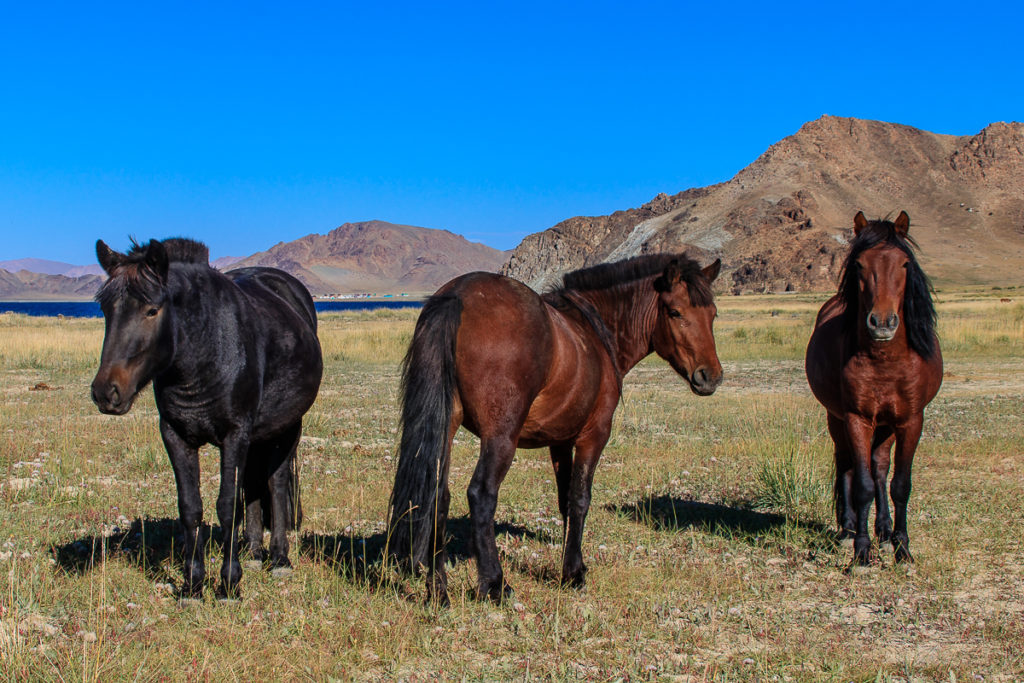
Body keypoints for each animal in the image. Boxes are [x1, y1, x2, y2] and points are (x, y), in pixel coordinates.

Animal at [93, 239, 323, 598]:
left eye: (152, 310)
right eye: (106, 309)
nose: (106, 392)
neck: (204, 351)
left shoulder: (234, 434)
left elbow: (227, 505)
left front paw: (228, 584)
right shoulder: (175, 435)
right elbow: (191, 506)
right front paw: (192, 583)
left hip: (287, 428)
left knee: (276, 482)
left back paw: (279, 558)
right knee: (253, 484)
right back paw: (254, 552)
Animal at [387, 252, 724, 602]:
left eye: (712, 314)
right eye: (675, 312)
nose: (710, 376)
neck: (596, 332)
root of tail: (458, 295)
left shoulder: (560, 441)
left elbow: (564, 501)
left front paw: (569, 564)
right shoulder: (593, 436)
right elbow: (580, 499)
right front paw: (574, 573)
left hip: (446, 430)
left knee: (438, 497)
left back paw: (438, 591)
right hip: (501, 438)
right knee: (480, 495)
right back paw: (495, 584)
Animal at [806, 211, 942, 565]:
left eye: (905, 264)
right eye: (859, 265)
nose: (881, 323)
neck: (885, 359)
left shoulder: (911, 419)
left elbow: (900, 484)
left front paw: (902, 547)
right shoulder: (857, 418)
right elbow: (863, 485)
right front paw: (861, 552)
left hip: (887, 425)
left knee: (880, 466)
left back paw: (883, 529)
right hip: (837, 418)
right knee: (847, 465)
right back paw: (848, 529)